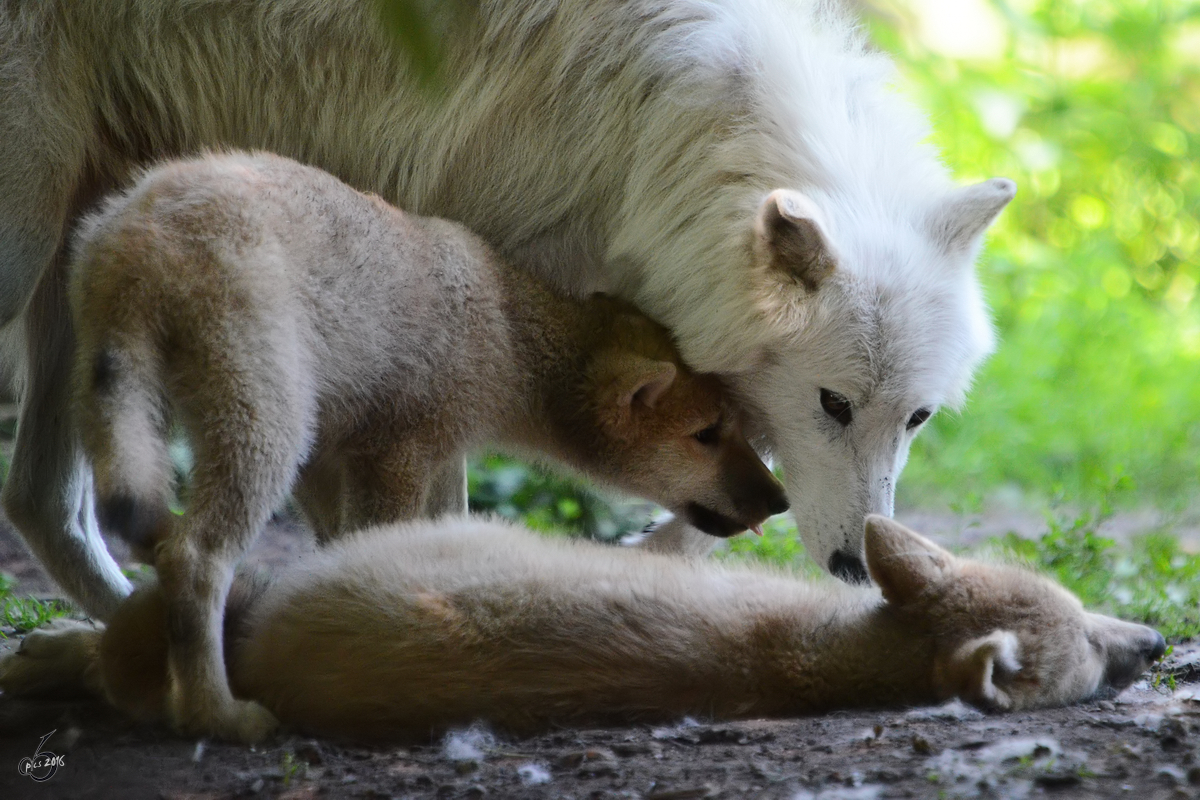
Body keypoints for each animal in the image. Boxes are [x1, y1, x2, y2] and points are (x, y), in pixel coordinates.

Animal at [2, 0, 1012, 618]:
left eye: (916, 418)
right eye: (833, 405)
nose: (853, 568)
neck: (659, 124)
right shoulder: (463, 307)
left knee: (42, 504)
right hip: (28, 245)